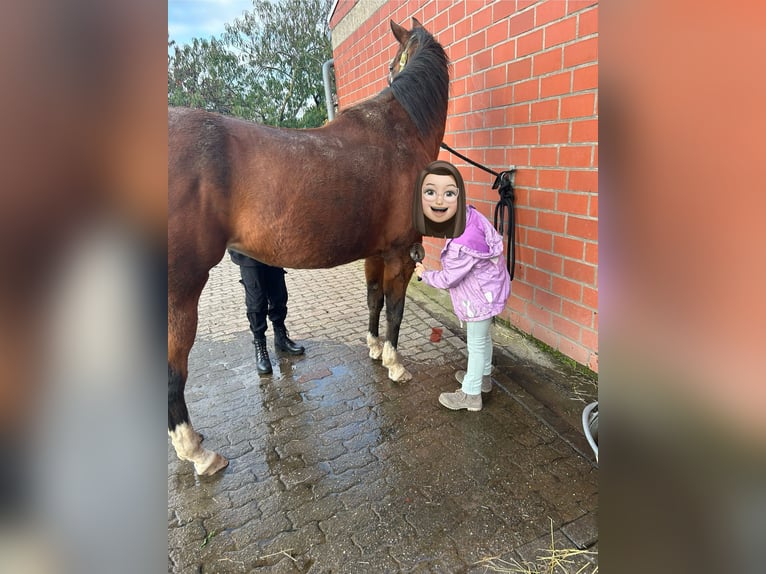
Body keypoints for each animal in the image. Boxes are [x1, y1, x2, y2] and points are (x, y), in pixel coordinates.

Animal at [168, 18, 450, 476]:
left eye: (393, 63)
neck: (400, 132)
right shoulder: (398, 253)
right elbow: (395, 309)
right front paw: (395, 364)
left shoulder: (375, 254)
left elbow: (373, 300)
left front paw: (374, 349)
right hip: (182, 291)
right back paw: (197, 452)